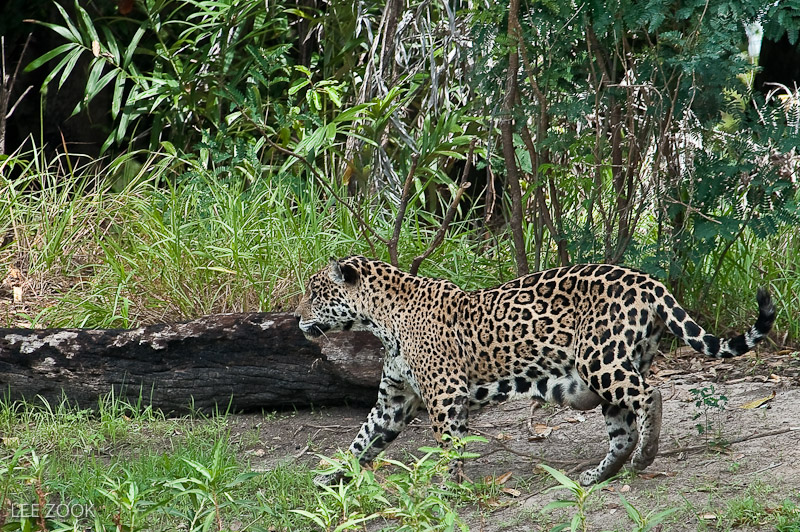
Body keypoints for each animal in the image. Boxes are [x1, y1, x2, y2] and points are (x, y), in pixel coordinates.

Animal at [295, 256, 775, 486]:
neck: (379, 319)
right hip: (615, 367)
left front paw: (447, 488)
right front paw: (332, 477)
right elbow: (361, 441)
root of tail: (648, 281)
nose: (297, 318)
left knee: (650, 396)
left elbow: (449, 446)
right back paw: (597, 476)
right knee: (623, 428)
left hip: (600, 359)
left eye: (315, 294)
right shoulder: (394, 401)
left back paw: (646, 456)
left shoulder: (445, 394)